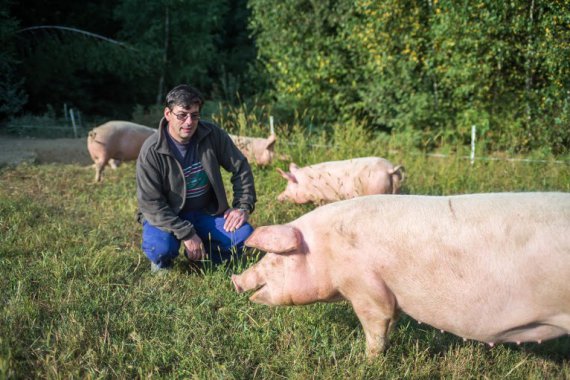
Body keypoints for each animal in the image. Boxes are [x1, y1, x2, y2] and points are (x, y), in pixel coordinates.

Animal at [231, 193, 568, 356]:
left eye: (276, 258)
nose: (235, 281)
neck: (325, 249)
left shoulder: (365, 286)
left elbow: (377, 324)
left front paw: (368, 360)